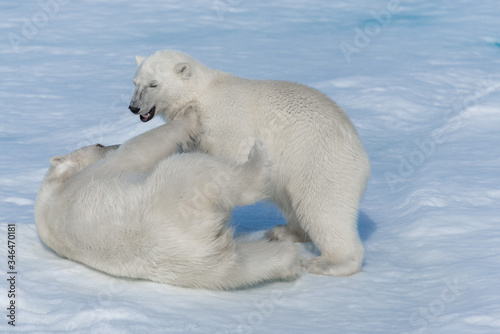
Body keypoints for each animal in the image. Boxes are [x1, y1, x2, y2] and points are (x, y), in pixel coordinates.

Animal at [36, 110, 300, 290]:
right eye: (99, 143)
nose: (115, 143)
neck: (52, 190)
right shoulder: (97, 173)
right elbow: (139, 149)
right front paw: (189, 118)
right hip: (178, 187)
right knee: (213, 174)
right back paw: (258, 157)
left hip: (202, 267)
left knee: (243, 265)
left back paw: (289, 259)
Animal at [129, 49, 372, 276]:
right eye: (135, 83)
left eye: (154, 84)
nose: (133, 107)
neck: (201, 96)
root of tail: (362, 154)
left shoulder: (226, 125)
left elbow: (229, 162)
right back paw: (282, 231)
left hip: (318, 160)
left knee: (322, 207)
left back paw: (326, 262)